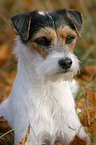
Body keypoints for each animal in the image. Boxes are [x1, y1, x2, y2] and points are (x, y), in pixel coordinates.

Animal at [0, 9, 90, 145]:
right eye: (42, 40)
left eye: (69, 38)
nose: (66, 63)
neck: (49, 90)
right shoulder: (29, 137)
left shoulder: (75, 134)